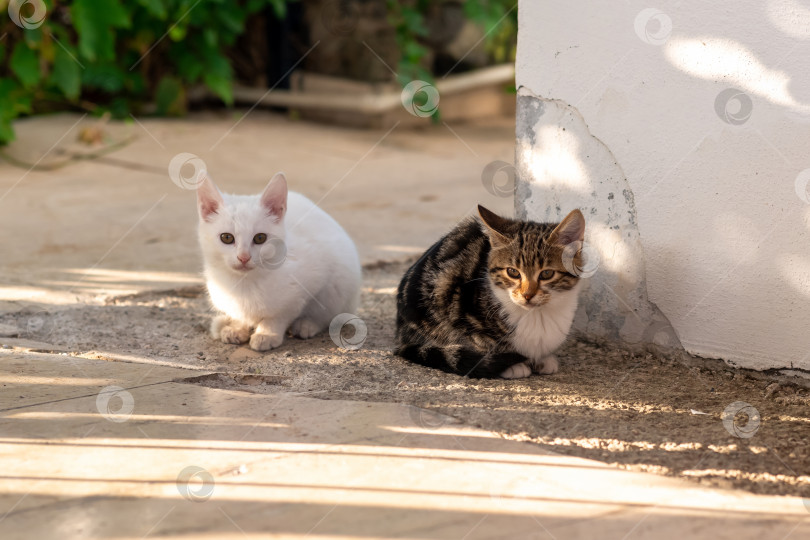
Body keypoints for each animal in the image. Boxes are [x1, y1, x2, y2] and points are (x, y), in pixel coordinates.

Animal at [196, 171, 360, 352]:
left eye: (260, 238)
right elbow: (240, 315)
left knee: (330, 313)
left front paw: (267, 333)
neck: (245, 283)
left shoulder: (308, 285)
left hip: (341, 282)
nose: (244, 257)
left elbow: (280, 315)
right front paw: (237, 327)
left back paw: (306, 324)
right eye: (226, 238)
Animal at [394, 207, 584, 380]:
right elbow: (480, 342)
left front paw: (543, 359)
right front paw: (512, 365)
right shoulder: (460, 309)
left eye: (547, 274)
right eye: (512, 272)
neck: (537, 314)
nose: (527, 295)